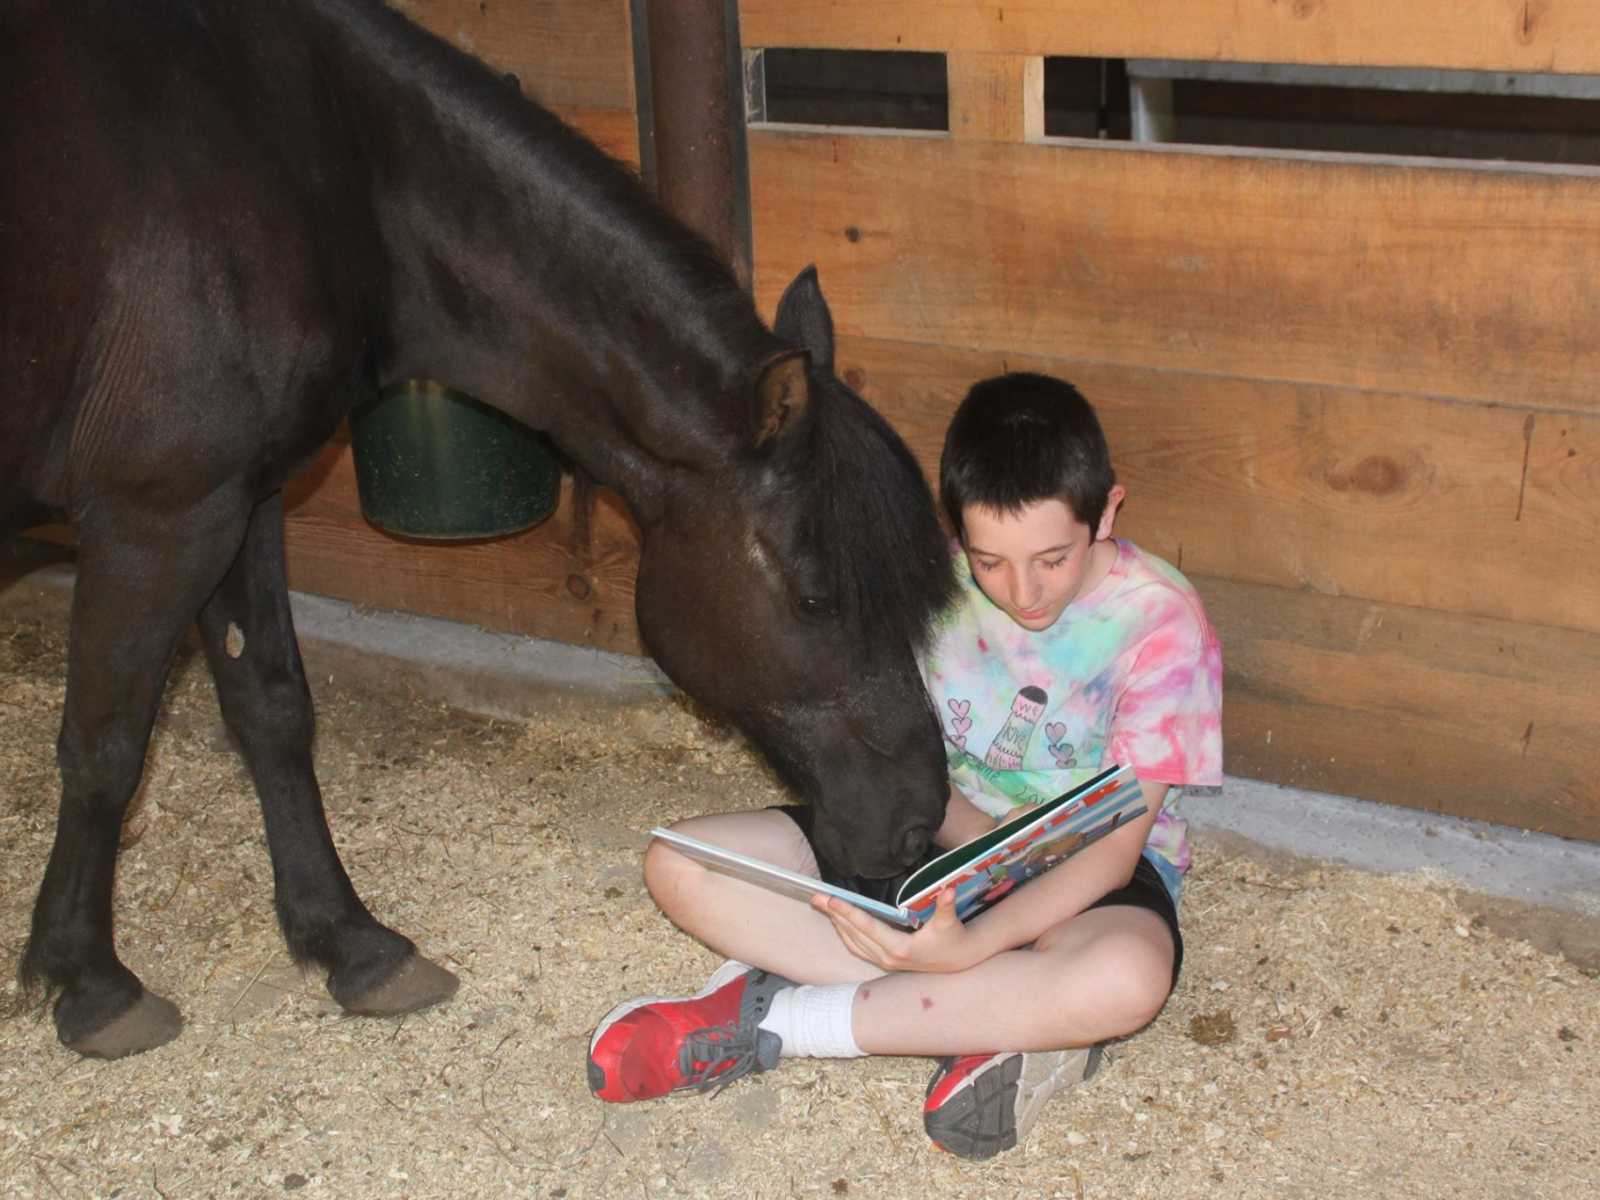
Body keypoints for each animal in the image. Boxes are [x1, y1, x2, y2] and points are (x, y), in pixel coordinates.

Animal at [0, 0, 947, 1062]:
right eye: (817, 595)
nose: (921, 822)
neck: (316, 160)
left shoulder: (240, 500)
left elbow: (270, 707)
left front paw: (352, 944)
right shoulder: (157, 518)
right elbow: (105, 745)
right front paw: (88, 979)